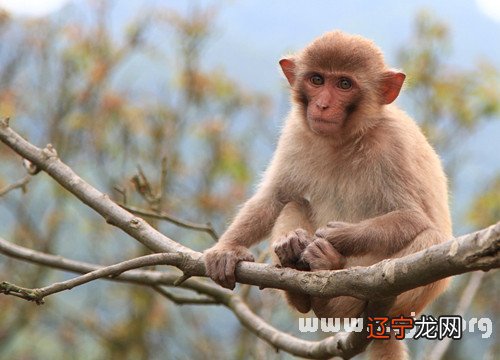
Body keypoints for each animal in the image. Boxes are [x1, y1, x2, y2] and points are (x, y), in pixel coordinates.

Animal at [203, 31, 450, 360]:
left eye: (344, 84)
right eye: (317, 80)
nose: (321, 105)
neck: (344, 139)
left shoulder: (393, 143)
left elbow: (415, 218)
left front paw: (336, 237)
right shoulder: (296, 131)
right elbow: (274, 197)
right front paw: (227, 250)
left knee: (432, 238)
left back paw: (332, 273)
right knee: (292, 203)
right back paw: (296, 275)